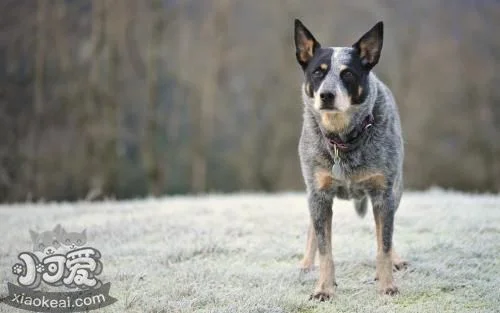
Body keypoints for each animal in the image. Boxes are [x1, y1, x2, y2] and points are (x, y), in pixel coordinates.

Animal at [292, 20, 406, 300]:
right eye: (317, 72)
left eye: (348, 74)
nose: (327, 95)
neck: (343, 139)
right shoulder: (319, 194)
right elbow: (325, 250)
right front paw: (324, 288)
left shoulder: (383, 193)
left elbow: (384, 244)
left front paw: (387, 285)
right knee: (312, 229)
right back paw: (306, 263)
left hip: (396, 190)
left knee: (385, 233)